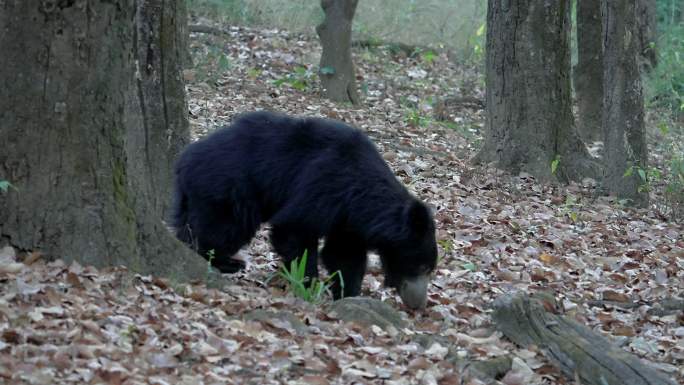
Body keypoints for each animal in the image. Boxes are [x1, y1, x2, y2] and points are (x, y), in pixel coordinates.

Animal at [174, 109, 436, 308]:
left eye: (429, 269)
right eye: (422, 266)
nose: (419, 304)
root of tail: (184, 161)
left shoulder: (348, 220)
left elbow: (343, 254)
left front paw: (347, 293)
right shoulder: (326, 185)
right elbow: (294, 228)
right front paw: (307, 282)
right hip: (229, 188)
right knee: (223, 228)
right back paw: (225, 262)